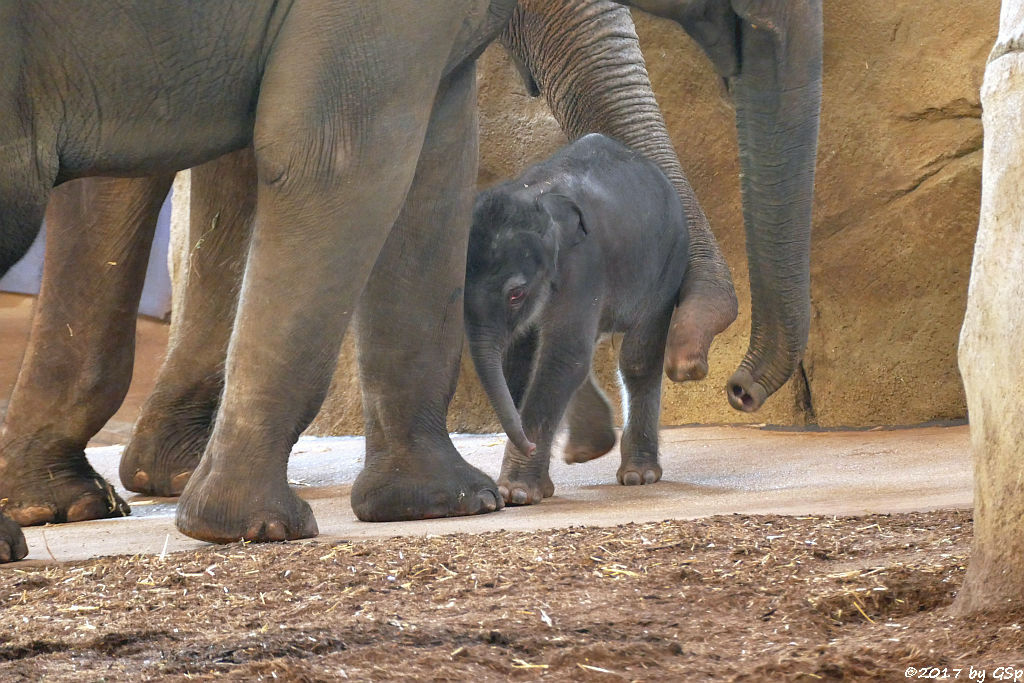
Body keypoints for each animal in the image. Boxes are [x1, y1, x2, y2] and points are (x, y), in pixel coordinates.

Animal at [468, 135, 692, 507]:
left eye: (516, 294)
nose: (528, 445)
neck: (536, 195)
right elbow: (522, 358)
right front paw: (536, 487)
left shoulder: (584, 265)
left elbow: (563, 356)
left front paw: (515, 493)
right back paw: (589, 450)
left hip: (670, 259)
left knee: (637, 357)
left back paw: (638, 475)